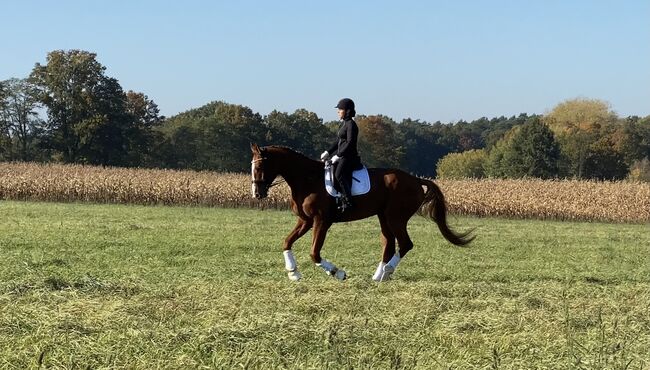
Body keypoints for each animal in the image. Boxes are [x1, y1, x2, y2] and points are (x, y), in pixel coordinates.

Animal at [248, 143, 470, 282]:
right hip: (384, 217)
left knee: (405, 244)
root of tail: (415, 180)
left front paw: (338, 273)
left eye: (260, 165)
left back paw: (387, 272)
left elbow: (314, 253)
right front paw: (293, 273)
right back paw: (378, 276)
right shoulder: (305, 221)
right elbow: (287, 242)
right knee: (389, 243)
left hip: (395, 217)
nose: (257, 193)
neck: (307, 179)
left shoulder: (321, 221)